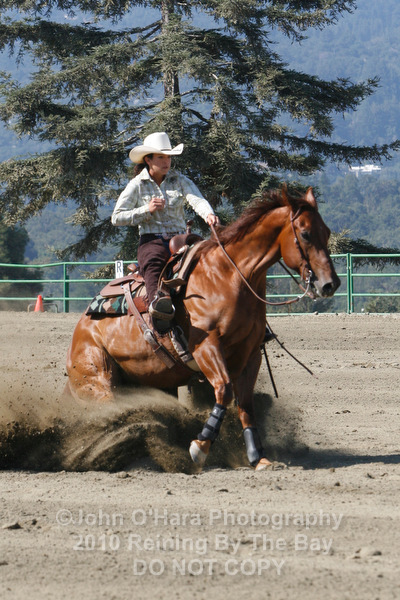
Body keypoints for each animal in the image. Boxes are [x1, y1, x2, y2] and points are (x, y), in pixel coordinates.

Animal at [65, 187, 340, 470]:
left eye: (327, 231)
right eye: (305, 233)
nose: (330, 284)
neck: (229, 276)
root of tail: (81, 331)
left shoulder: (251, 353)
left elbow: (245, 403)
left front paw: (258, 457)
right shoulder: (206, 347)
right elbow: (224, 389)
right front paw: (200, 446)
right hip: (100, 380)